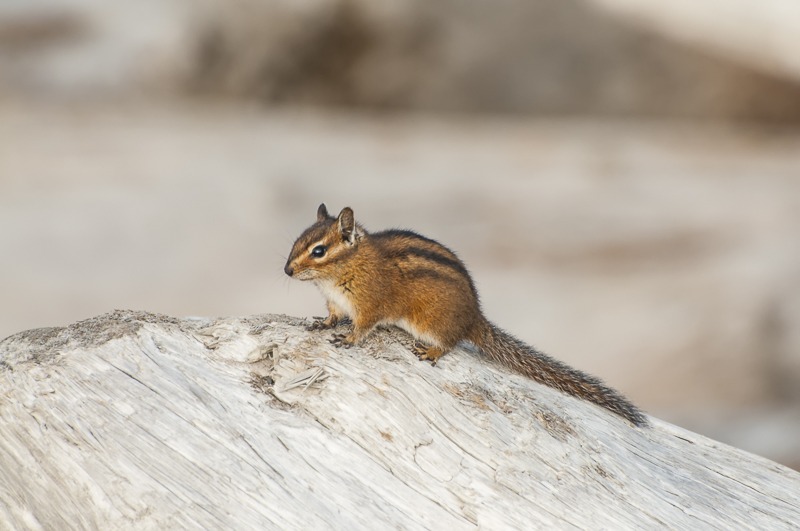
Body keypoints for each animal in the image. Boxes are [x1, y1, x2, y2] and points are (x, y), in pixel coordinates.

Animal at [284, 204, 648, 427]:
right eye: (297, 241)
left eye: (319, 251)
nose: (286, 271)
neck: (342, 271)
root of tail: (475, 317)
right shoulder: (335, 302)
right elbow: (331, 316)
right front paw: (321, 324)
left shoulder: (369, 305)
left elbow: (362, 328)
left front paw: (347, 339)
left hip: (430, 323)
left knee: (449, 343)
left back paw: (431, 352)